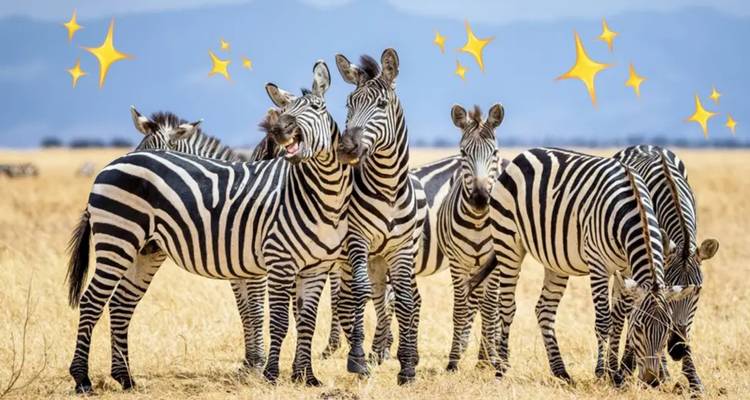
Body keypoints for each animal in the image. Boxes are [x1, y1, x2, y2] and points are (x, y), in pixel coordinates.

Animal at [65, 61, 350, 393]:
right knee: (91, 302)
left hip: (145, 250)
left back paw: (125, 378)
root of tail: (110, 165)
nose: (280, 131)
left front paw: (305, 376)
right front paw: (266, 372)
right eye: (286, 111)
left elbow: (304, 319)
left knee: (121, 304)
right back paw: (82, 379)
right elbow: (270, 316)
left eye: (317, 107)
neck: (321, 193)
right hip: (117, 239)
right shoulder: (275, 262)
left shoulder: (312, 266)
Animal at [333, 48, 423, 385]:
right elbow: (359, 295)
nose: (346, 148)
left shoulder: (401, 248)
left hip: (380, 259)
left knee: (385, 298)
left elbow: (406, 300)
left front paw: (407, 366)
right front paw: (357, 359)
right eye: (349, 104)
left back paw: (384, 351)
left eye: (382, 105)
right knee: (352, 298)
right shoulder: (357, 240)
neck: (388, 188)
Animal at [469, 147, 696, 386]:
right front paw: (601, 373)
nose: (652, 381)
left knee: (544, 309)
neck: (632, 211)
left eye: (667, 329)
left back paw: (561, 372)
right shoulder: (598, 265)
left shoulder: (626, 269)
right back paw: (501, 368)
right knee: (507, 306)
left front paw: (615, 375)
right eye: (639, 328)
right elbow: (604, 321)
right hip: (508, 242)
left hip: (555, 260)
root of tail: (524, 154)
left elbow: (618, 318)